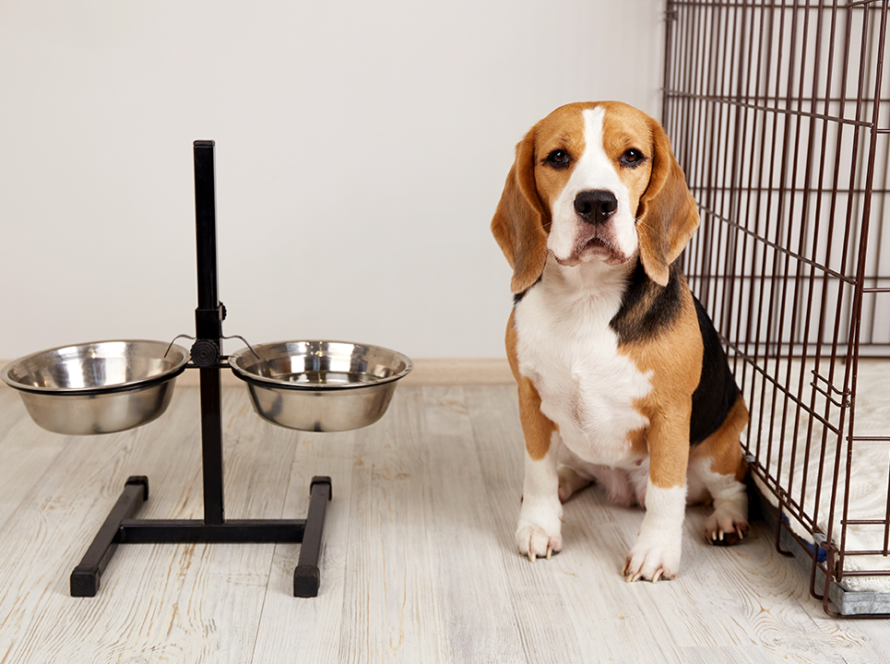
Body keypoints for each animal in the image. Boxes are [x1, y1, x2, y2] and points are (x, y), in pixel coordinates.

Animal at [490, 101, 744, 584]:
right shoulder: (529, 397)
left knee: (729, 488)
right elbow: (537, 471)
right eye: (557, 157)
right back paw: (566, 482)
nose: (595, 203)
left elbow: (667, 491)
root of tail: (623, 490)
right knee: (572, 468)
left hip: (721, 443)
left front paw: (656, 553)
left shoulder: (670, 413)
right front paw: (539, 524)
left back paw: (727, 519)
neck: (588, 296)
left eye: (631, 156)